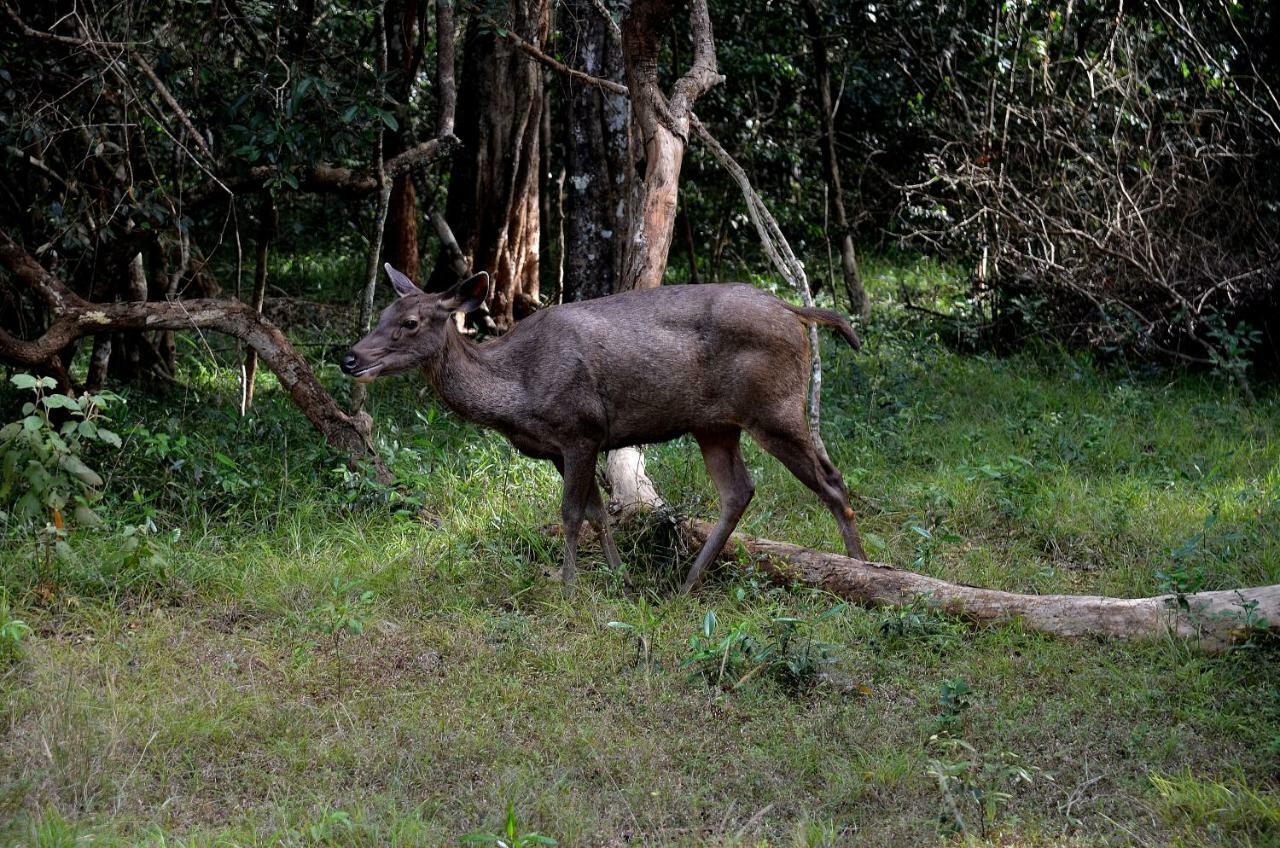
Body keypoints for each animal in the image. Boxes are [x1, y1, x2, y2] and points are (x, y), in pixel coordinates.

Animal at [340, 269, 865, 594]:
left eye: (410, 322)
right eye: (382, 315)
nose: (349, 357)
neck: (518, 393)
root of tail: (795, 311)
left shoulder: (581, 427)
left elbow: (572, 513)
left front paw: (568, 585)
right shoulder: (560, 447)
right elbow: (597, 511)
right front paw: (619, 577)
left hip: (774, 406)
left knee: (832, 481)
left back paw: (861, 570)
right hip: (714, 423)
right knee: (740, 490)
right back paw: (687, 584)